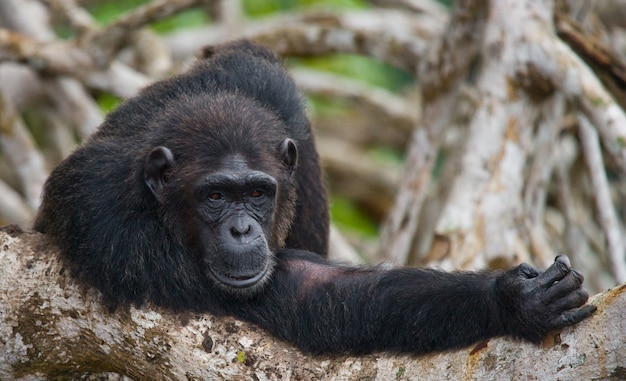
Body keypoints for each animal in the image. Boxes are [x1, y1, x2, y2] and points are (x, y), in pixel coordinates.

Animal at [35, 39, 596, 354]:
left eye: (256, 193)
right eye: (214, 197)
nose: (242, 227)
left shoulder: (267, 90)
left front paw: (511, 296)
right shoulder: (108, 221)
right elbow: (309, 292)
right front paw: (508, 301)